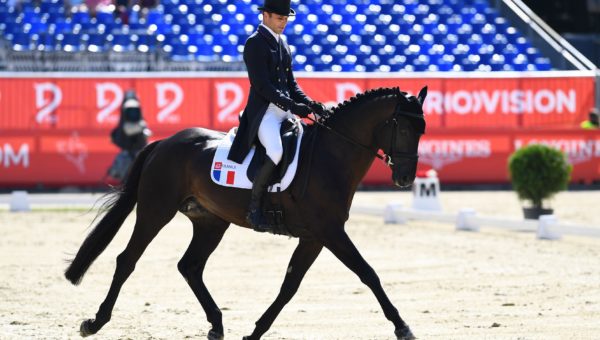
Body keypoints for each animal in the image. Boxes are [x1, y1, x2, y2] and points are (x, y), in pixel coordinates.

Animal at [64, 86, 426, 340]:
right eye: (403, 129)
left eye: (421, 130)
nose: (406, 178)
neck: (330, 155)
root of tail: (164, 143)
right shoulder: (330, 232)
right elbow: (368, 273)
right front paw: (403, 327)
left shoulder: (314, 237)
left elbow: (289, 286)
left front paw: (255, 331)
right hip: (156, 210)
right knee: (127, 259)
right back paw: (95, 322)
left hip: (211, 222)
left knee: (190, 266)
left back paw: (216, 324)